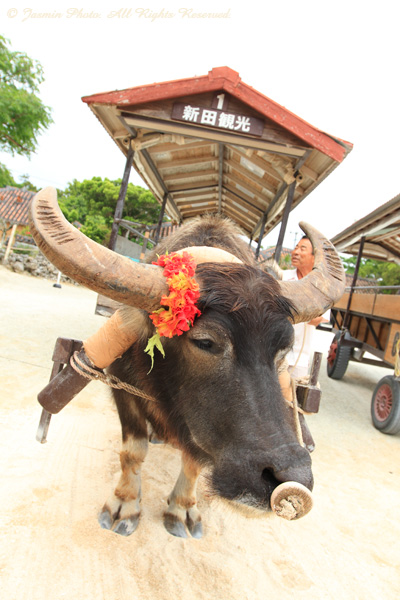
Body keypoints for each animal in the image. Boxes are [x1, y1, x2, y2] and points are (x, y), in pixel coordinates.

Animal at [29, 188, 346, 540]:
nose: (291, 476)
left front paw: (181, 510)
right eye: (205, 342)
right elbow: (133, 450)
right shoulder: (121, 387)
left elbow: (193, 462)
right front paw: (124, 505)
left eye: (283, 349)